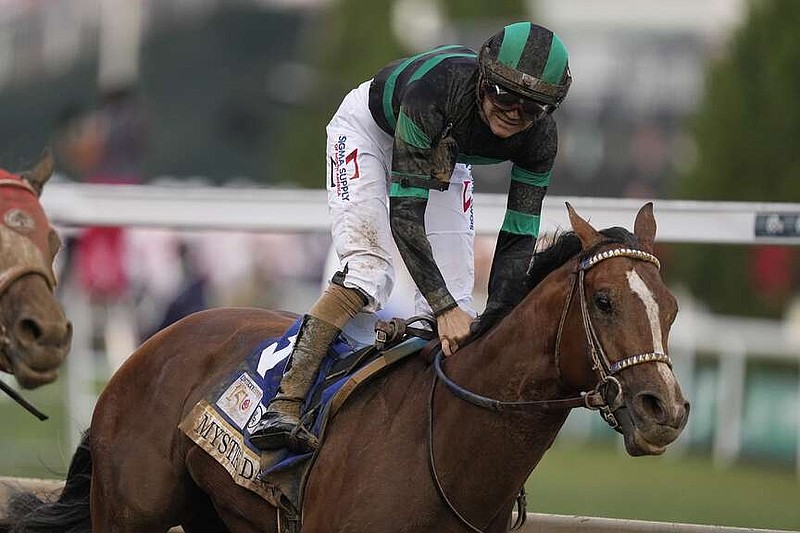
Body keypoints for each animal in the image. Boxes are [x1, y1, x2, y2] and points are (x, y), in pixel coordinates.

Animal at [9, 202, 688, 528]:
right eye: (604, 301)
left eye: (672, 308)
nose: (666, 409)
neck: (444, 447)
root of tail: (150, 347)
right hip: (130, 512)